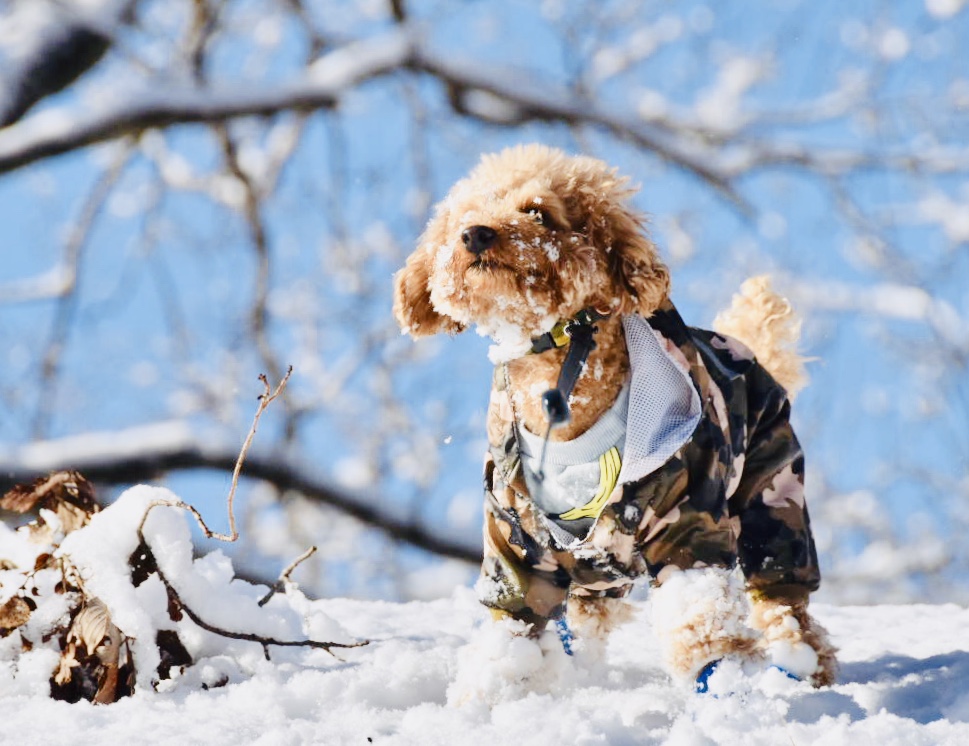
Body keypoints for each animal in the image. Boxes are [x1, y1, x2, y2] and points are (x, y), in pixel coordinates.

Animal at [390, 144, 836, 692]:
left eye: (538, 212)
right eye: (464, 216)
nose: (475, 234)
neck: (561, 390)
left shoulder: (690, 524)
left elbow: (700, 619)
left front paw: (722, 684)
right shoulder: (516, 545)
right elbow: (510, 630)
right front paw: (487, 694)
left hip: (771, 494)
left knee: (784, 598)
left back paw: (801, 665)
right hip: (597, 571)